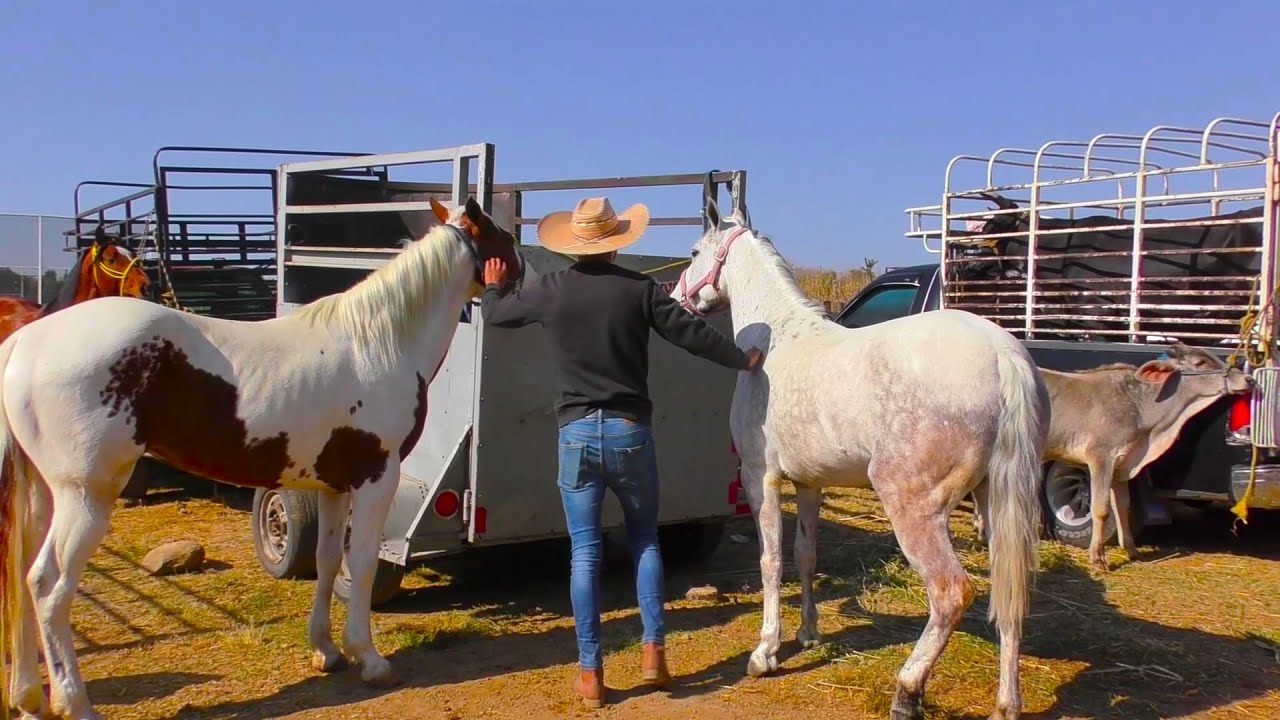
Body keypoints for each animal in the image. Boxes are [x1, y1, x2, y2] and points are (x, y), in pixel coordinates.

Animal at [670, 197, 1050, 720]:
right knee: (1010, 595)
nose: (674, 297)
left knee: (951, 593)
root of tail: (1002, 354)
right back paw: (1006, 704)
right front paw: (808, 633)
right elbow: (805, 554)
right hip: (997, 503)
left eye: (693, 252)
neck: (775, 341)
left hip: (914, 507)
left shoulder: (760, 479)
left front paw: (766, 652)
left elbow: (771, 560)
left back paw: (907, 691)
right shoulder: (809, 483)